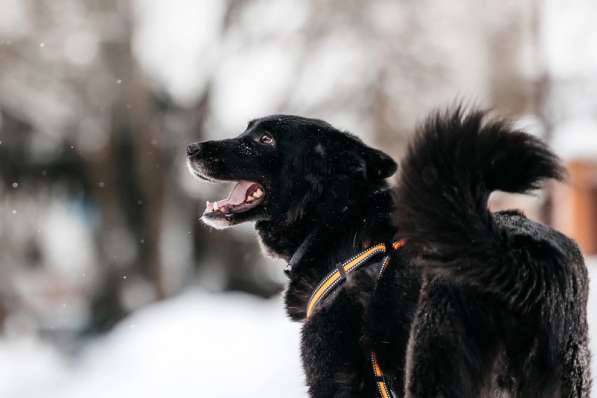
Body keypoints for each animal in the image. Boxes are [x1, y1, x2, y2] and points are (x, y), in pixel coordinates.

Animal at [189, 110, 588, 396]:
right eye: (247, 130)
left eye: (264, 138)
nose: (192, 149)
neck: (339, 222)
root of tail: (518, 261)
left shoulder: (333, 378)